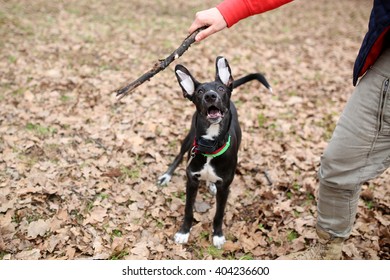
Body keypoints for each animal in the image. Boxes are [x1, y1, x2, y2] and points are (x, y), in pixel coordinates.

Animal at [157, 55, 270, 248]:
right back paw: (167, 176)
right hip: (189, 138)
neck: (210, 146)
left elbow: (219, 214)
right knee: (179, 156)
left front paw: (217, 235)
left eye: (220, 88)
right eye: (200, 91)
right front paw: (183, 232)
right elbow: (188, 210)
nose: (211, 96)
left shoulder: (225, 187)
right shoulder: (191, 181)